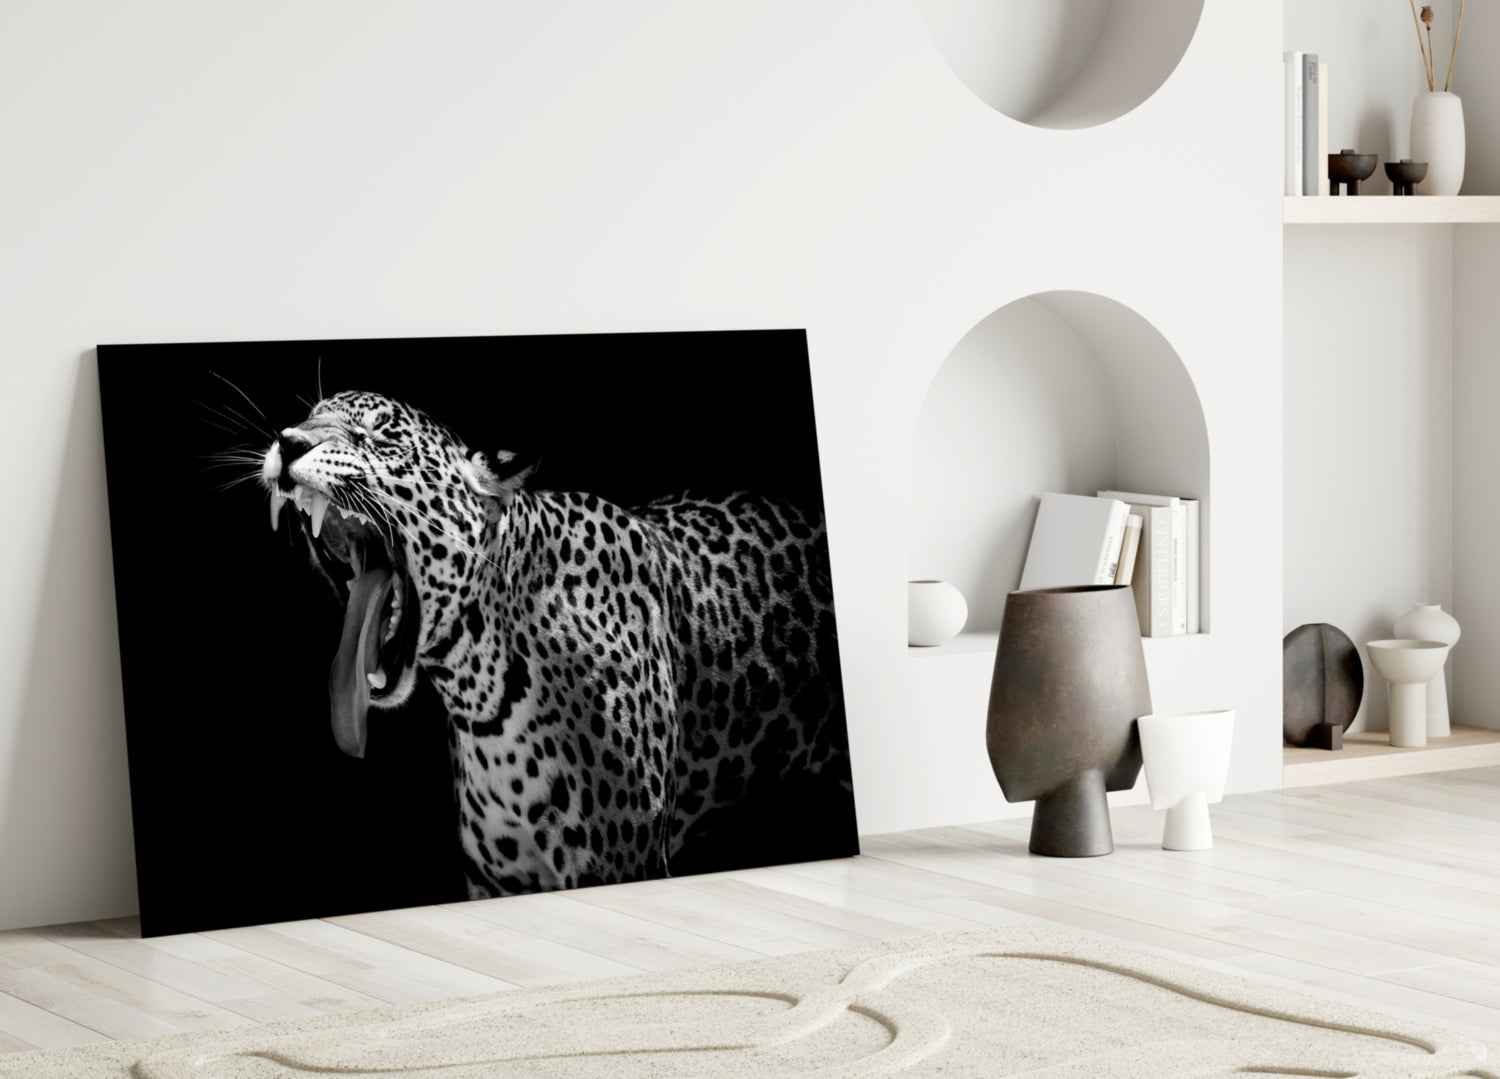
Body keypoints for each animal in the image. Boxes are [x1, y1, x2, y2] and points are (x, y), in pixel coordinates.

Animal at [259, 389, 850, 897]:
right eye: (310, 415)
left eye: (380, 435)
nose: (288, 442)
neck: (480, 691)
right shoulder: (497, 879)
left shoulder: (618, 862)